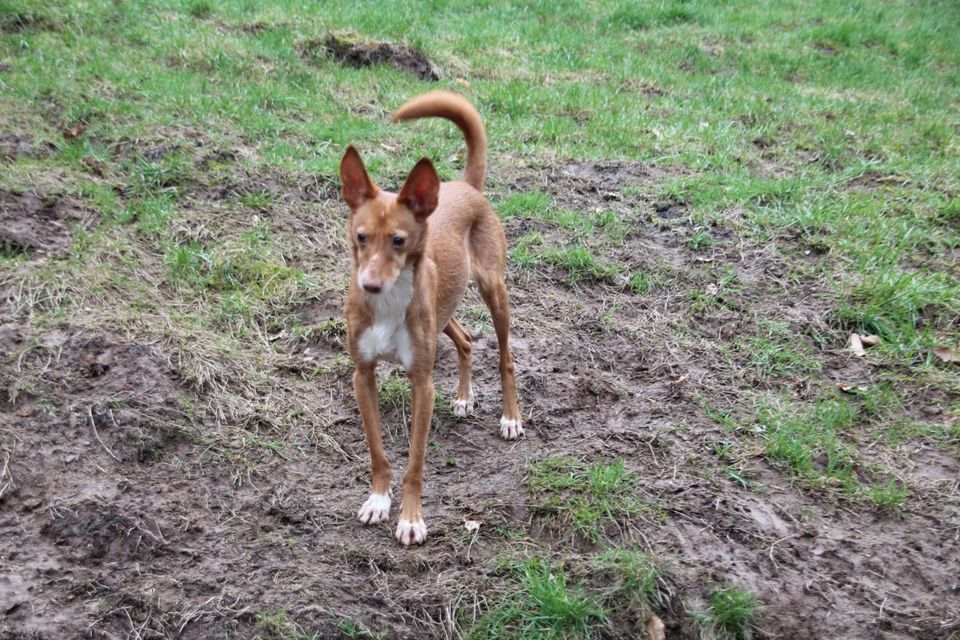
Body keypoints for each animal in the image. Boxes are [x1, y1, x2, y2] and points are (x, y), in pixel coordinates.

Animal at [342, 91, 524, 544]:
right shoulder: (362, 375)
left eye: (399, 241)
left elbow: (416, 461)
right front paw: (378, 500)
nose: (369, 284)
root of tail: (464, 185)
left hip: (494, 291)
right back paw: (463, 396)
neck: (387, 306)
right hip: (443, 311)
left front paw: (410, 519)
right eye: (361, 237)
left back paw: (511, 417)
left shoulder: (422, 384)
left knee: (506, 357)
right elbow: (378, 451)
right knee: (466, 339)